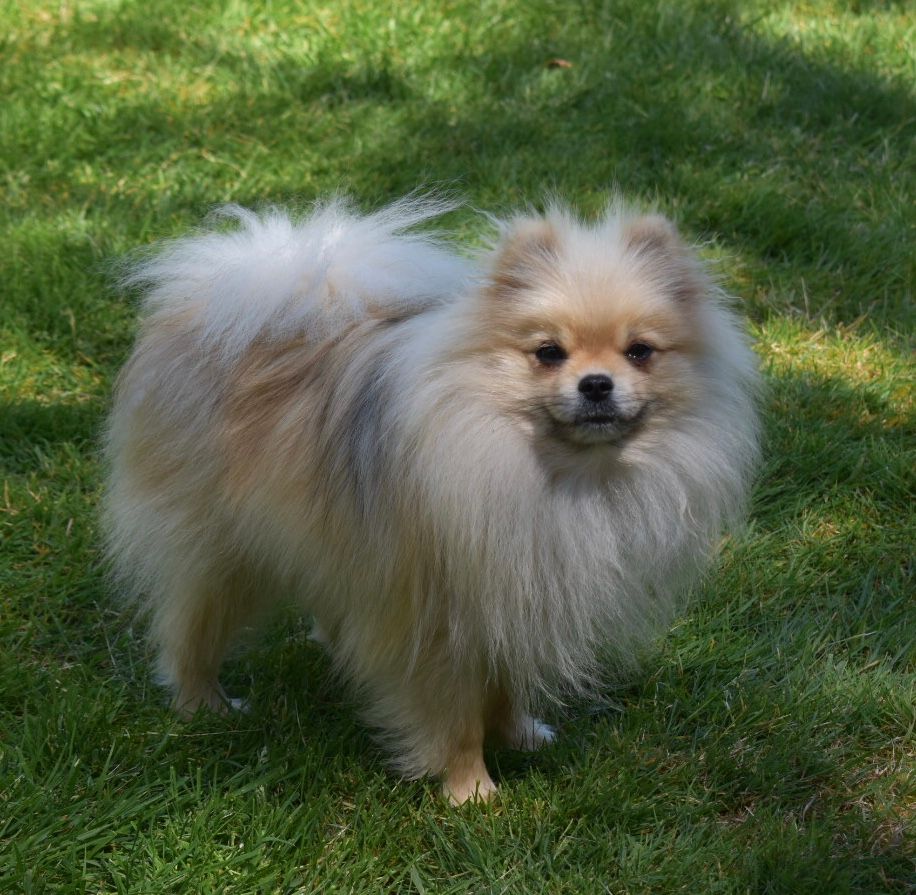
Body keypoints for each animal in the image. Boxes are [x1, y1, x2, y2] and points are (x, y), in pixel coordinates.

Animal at [104, 196, 760, 804]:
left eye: (640, 351)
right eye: (549, 352)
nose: (596, 384)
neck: (558, 475)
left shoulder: (514, 591)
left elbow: (505, 687)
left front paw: (518, 735)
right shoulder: (441, 620)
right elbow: (455, 716)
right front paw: (471, 792)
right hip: (219, 548)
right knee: (189, 628)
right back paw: (204, 706)